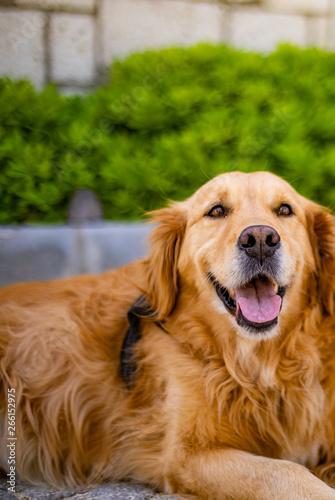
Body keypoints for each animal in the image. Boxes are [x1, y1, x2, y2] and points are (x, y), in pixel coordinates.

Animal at [0, 170, 335, 498]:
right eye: (216, 211)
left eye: (284, 210)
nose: (261, 240)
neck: (258, 363)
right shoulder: (186, 455)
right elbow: (285, 472)